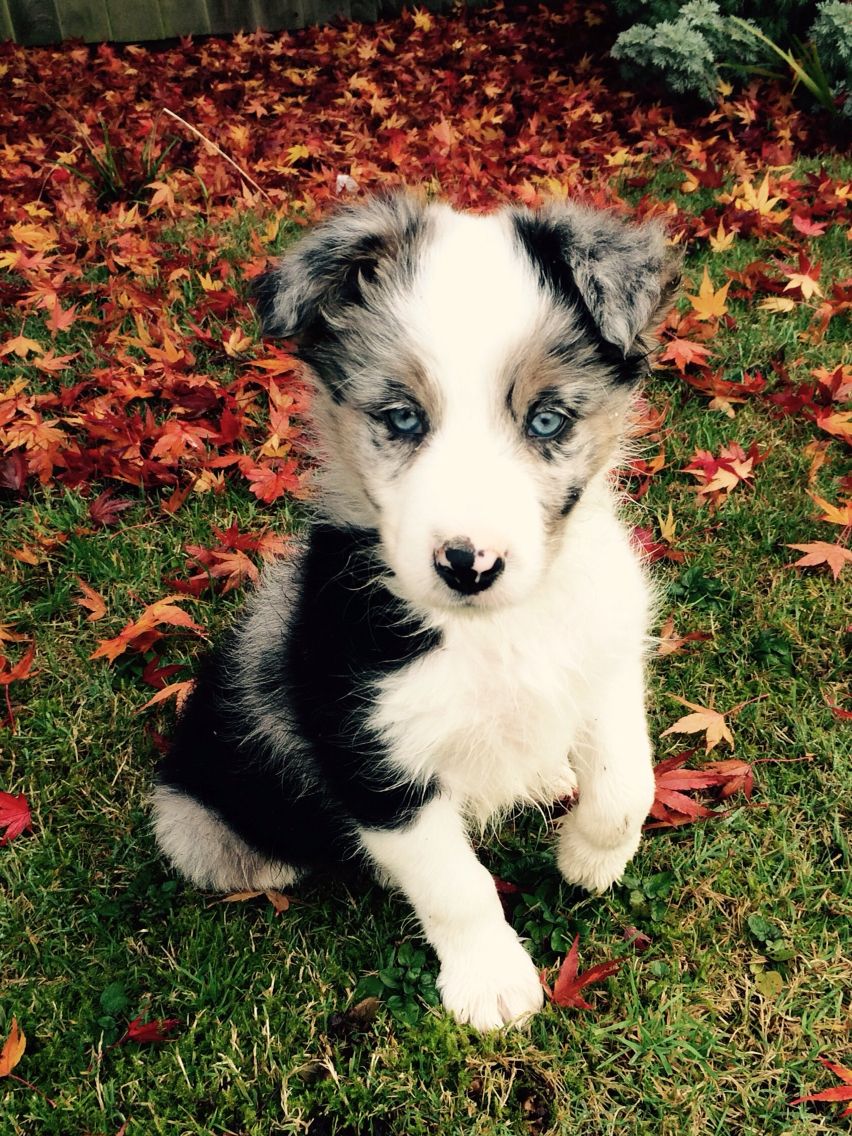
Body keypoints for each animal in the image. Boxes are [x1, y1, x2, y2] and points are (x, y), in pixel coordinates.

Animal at [152, 193, 681, 1031]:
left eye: (547, 420)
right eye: (401, 418)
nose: (469, 565)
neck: (496, 629)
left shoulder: (603, 649)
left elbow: (628, 781)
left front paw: (591, 858)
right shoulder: (371, 751)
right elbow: (454, 884)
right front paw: (492, 984)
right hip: (199, 821)